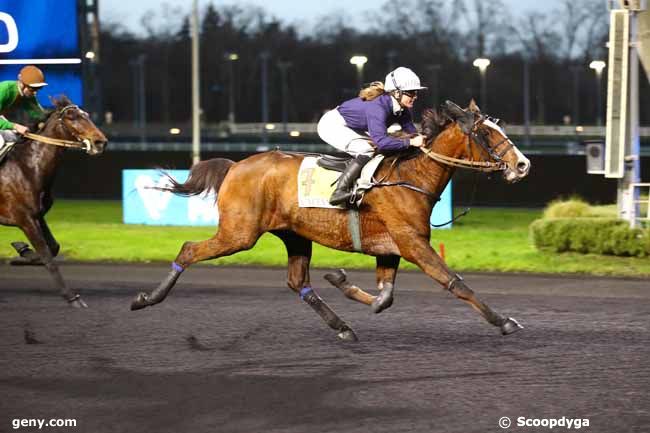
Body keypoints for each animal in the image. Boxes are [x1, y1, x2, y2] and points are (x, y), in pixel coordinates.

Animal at [0, 97, 107, 308]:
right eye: (72, 117)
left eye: (86, 115)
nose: (100, 142)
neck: (27, 167)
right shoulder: (24, 218)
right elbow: (48, 258)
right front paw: (72, 298)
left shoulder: (37, 215)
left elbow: (53, 248)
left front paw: (22, 251)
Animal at [130, 99, 528, 340]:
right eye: (486, 133)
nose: (523, 164)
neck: (408, 176)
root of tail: (236, 166)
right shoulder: (412, 243)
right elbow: (455, 282)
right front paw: (505, 321)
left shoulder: (390, 247)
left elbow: (385, 298)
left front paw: (341, 280)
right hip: (239, 233)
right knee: (188, 249)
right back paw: (146, 299)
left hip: (293, 235)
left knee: (298, 282)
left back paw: (342, 327)